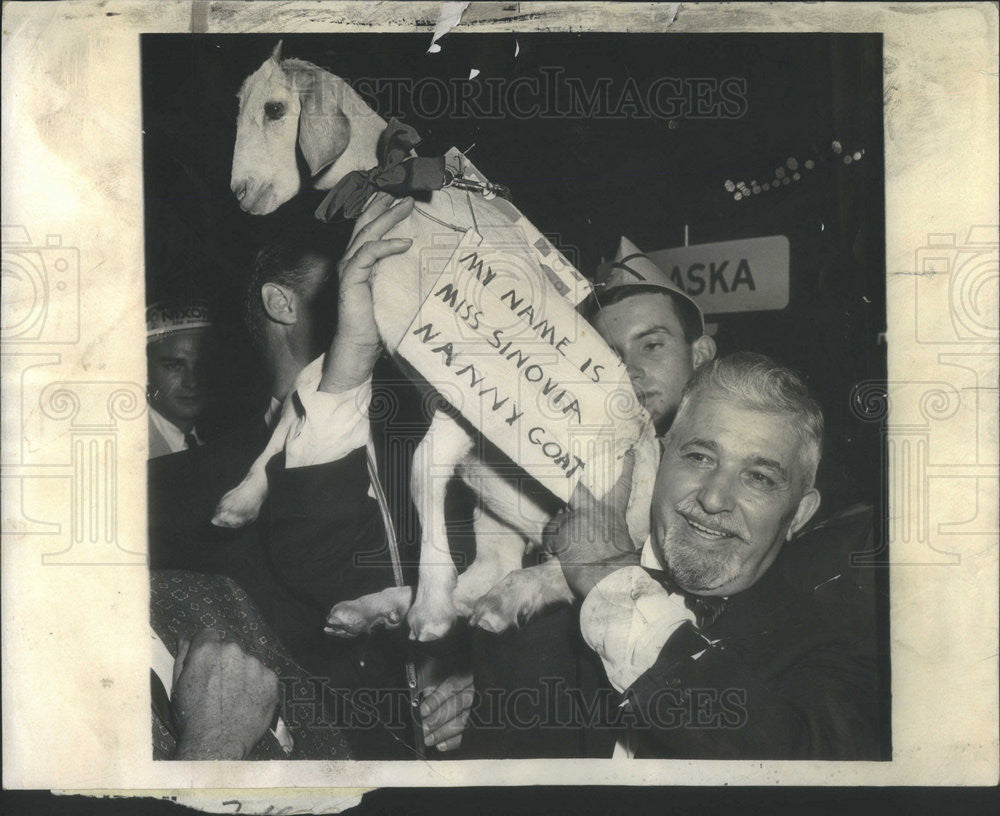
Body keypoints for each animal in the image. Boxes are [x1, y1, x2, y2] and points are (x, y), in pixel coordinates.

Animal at [218, 44, 656, 640]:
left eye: (275, 109)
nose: (243, 194)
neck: (394, 192)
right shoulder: (380, 335)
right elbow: (304, 388)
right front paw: (240, 500)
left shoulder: (457, 377)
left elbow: (423, 468)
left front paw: (429, 609)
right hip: (498, 500)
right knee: (494, 566)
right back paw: (384, 606)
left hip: (607, 505)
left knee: (613, 568)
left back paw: (500, 599)